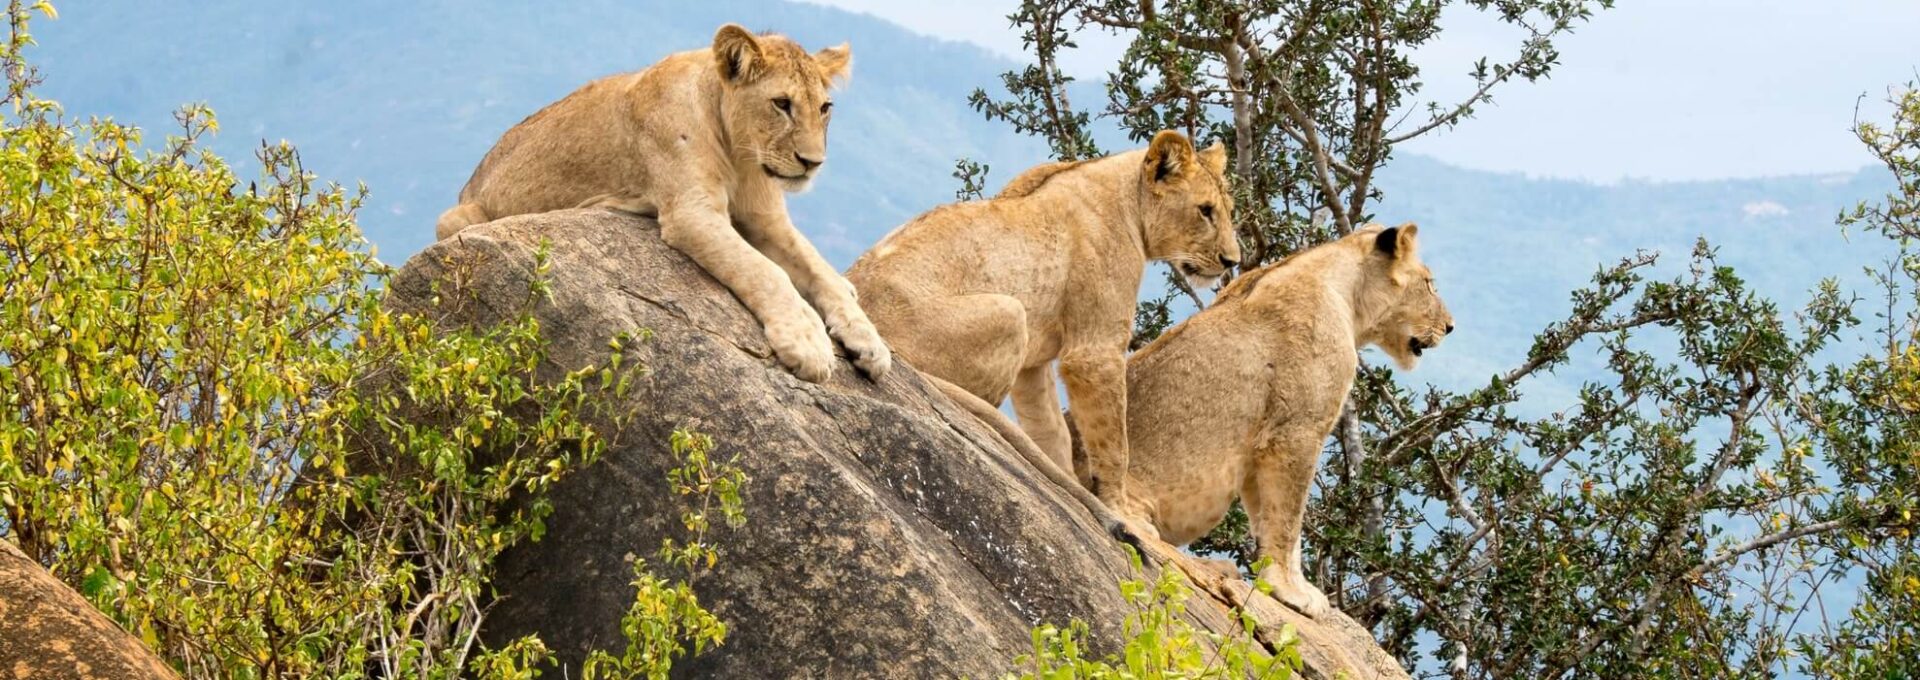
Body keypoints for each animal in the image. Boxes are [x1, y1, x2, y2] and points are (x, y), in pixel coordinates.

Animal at [435, 24, 890, 384]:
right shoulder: (691, 213)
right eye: (781, 104)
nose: (813, 162)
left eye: (824, 107)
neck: (739, 153)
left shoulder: (766, 219)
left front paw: (869, 342)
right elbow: (765, 271)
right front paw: (808, 343)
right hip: (455, 219)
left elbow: (820, 272)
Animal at [846, 131, 1242, 540]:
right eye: (1205, 210)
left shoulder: (1033, 366)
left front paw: (1069, 487)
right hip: (1010, 313)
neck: (1129, 200)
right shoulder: (1093, 352)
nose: (1233, 261)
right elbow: (1114, 444)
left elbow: (1053, 431)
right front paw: (1122, 512)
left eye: (1226, 209)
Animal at [1119, 223, 1452, 617]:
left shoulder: (1259, 446)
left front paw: (1278, 583)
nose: (1450, 326)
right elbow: (1289, 520)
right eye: (1429, 284)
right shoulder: (1295, 431)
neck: (1348, 296)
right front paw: (1292, 592)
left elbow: (1268, 518)